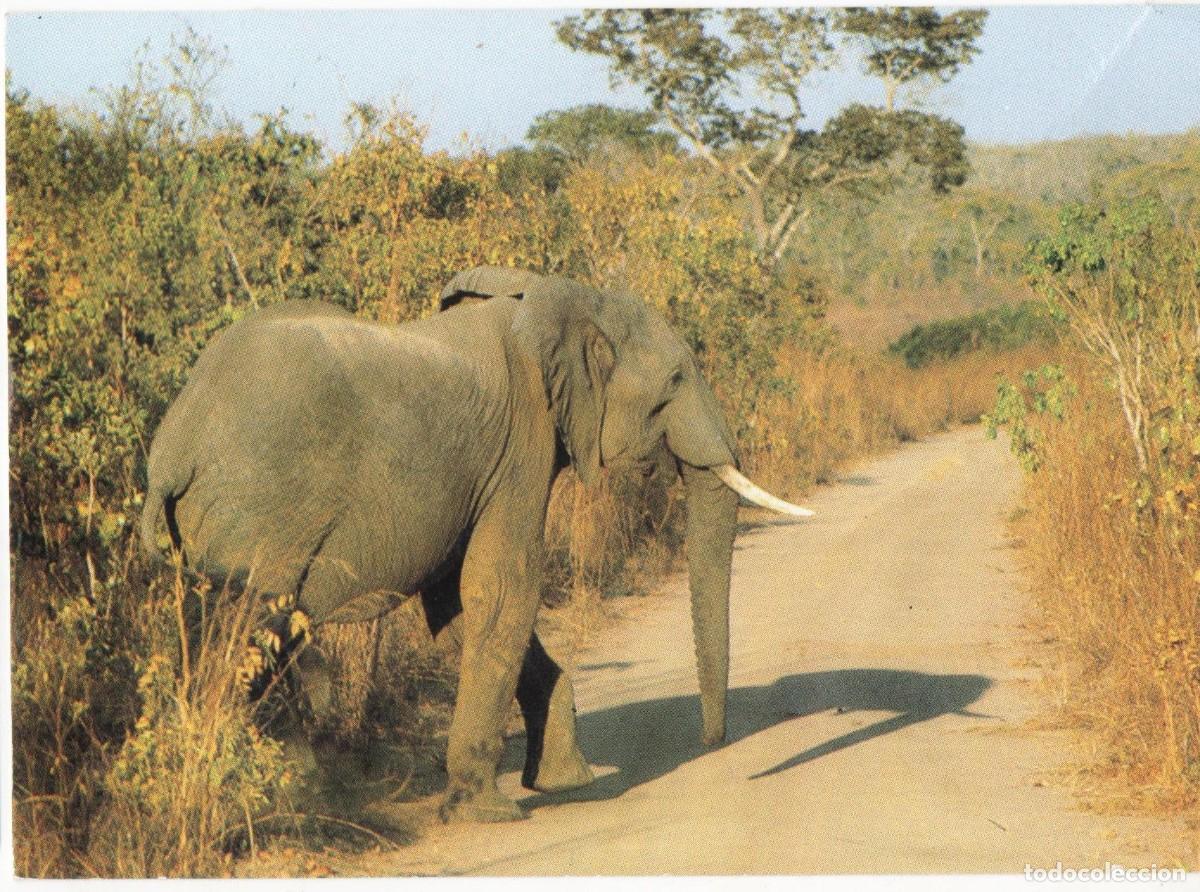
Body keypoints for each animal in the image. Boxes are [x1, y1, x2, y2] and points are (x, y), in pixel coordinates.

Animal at [141, 266, 812, 823]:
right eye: (675, 379)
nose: (711, 745)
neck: (561, 295)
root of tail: (174, 447)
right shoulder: (522, 441)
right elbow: (503, 585)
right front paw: (487, 811)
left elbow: (459, 600)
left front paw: (562, 781)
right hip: (261, 521)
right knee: (254, 638)